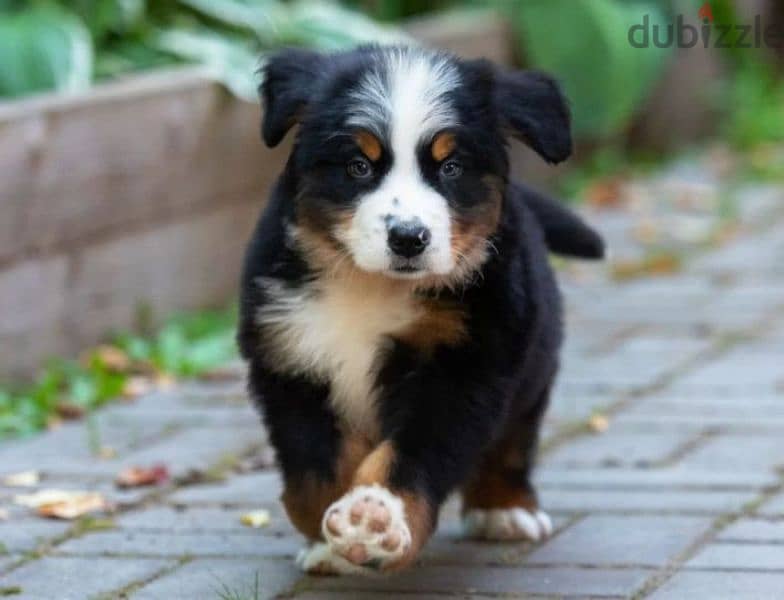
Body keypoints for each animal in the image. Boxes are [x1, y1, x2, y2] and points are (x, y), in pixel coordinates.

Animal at [239, 44, 608, 576]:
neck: (370, 288)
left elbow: (413, 452)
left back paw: (504, 509)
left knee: (514, 440)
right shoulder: (291, 358)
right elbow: (314, 470)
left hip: (534, 362)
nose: (409, 237)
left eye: (450, 168)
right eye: (358, 166)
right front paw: (332, 541)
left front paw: (376, 516)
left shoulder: (464, 366)